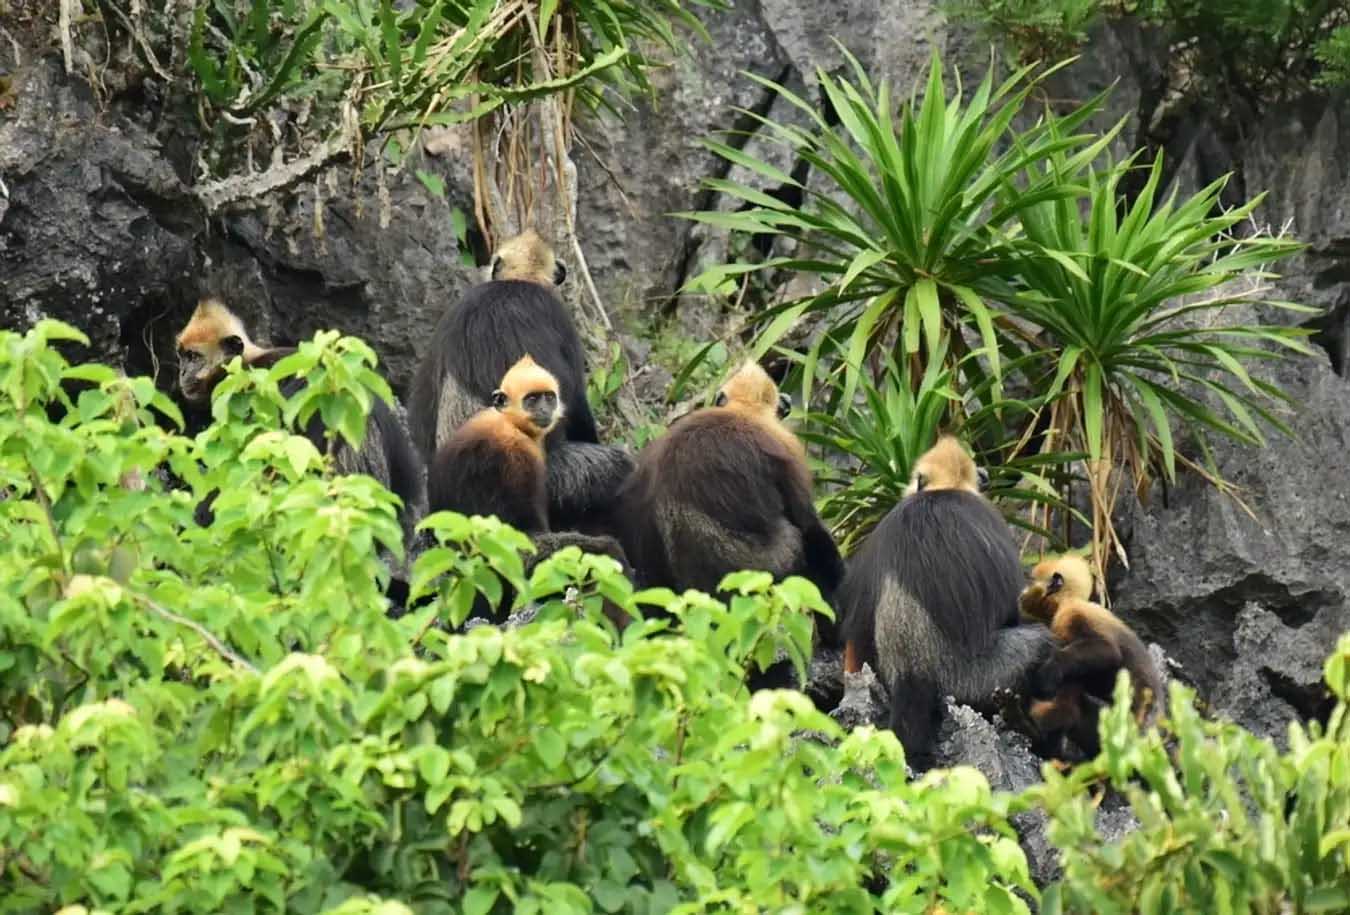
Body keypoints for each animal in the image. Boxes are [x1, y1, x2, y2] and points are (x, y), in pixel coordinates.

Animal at [1015, 558, 1166, 761]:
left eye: (1030, 581)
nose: (1021, 594)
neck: (1066, 601)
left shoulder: (1071, 615)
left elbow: (1107, 650)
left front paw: (1047, 675)